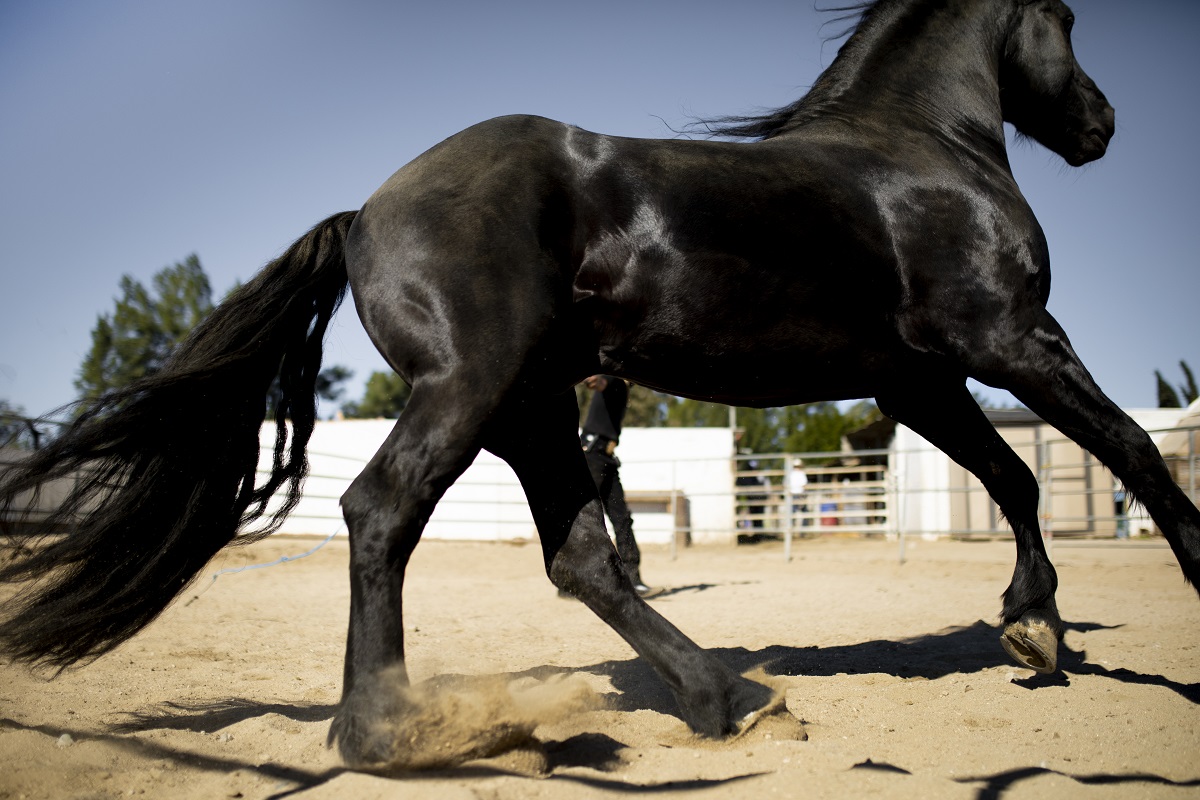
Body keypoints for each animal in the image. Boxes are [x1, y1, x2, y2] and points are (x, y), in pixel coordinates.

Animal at [2, 0, 1200, 767]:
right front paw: (1107, 607)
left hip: (527, 410)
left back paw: (728, 699)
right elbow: (1130, 453)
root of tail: (365, 211)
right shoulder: (1011, 339)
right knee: (380, 511)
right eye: (1068, 16)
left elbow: (1018, 478)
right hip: (470, 393)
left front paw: (1033, 627)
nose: (1100, 125)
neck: (916, 154)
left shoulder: (919, 380)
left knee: (579, 558)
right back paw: (384, 730)